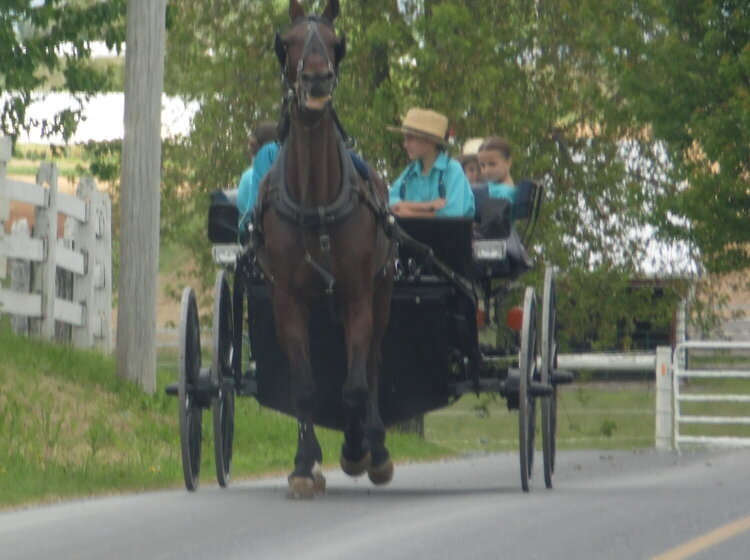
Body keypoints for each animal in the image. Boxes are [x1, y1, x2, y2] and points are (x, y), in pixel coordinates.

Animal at [254, 0, 396, 498]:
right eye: (287, 42)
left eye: (337, 43)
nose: (316, 79)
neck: (314, 200)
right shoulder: (285, 301)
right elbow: (303, 385)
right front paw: (304, 464)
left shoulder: (357, 295)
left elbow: (355, 384)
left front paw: (356, 448)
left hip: (382, 293)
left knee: (371, 364)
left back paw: (376, 447)